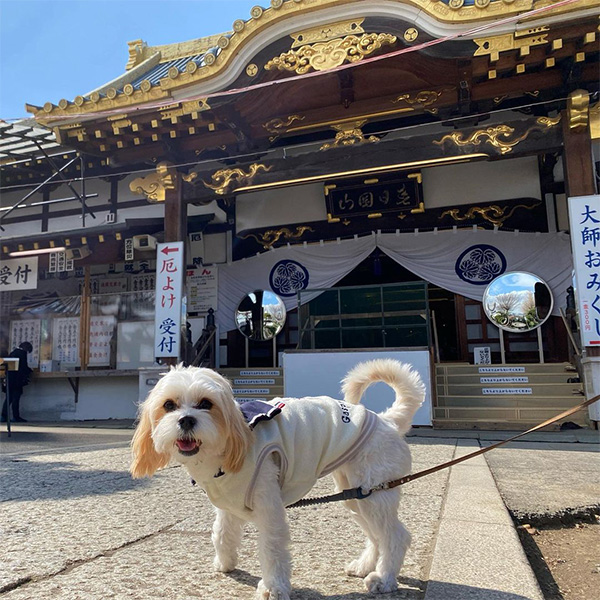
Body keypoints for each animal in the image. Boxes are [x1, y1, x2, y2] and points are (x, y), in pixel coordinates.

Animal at [131, 358, 424, 596]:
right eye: (169, 405)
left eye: (206, 403)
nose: (186, 420)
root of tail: (387, 420)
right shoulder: (228, 500)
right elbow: (222, 532)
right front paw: (225, 562)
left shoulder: (268, 505)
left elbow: (271, 548)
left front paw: (274, 587)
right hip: (356, 493)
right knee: (376, 535)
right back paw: (365, 566)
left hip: (375, 493)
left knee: (395, 536)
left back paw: (384, 578)